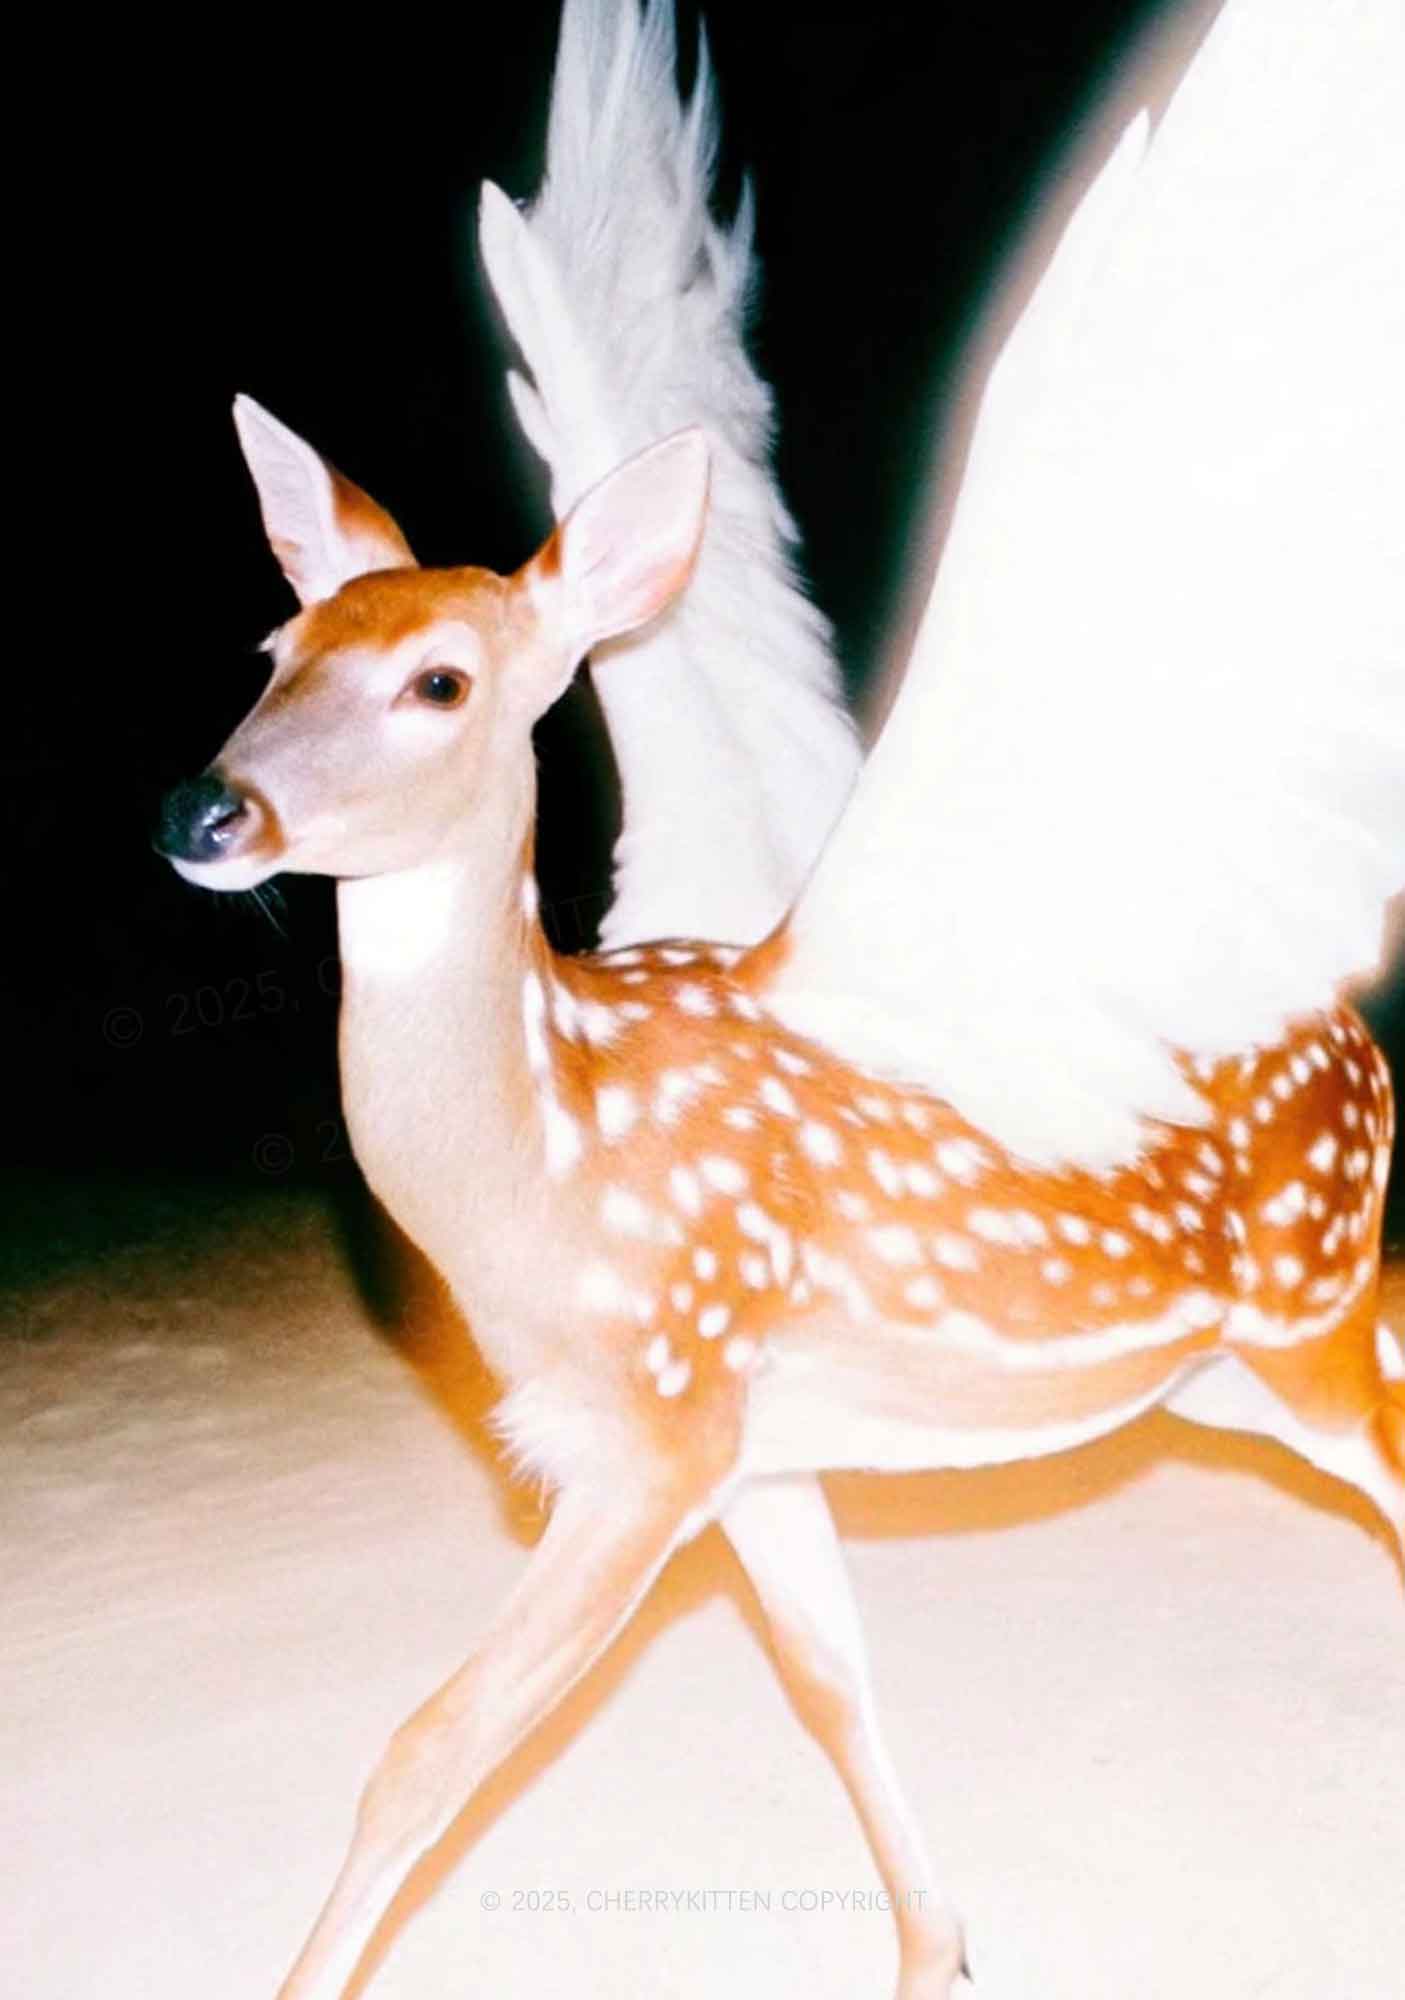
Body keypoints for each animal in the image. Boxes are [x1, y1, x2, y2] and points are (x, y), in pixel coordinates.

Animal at [154, 1, 1404, 1996]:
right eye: (272, 647)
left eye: (439, 683)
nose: (207, 814)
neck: (557, 1162)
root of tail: (1353, 1041)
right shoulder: (745, 1446)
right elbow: (829, 1679)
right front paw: (937, 1954)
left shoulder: (662, 1416)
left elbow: (427, 1752)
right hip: (1226, 1354)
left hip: (1294, 1306)